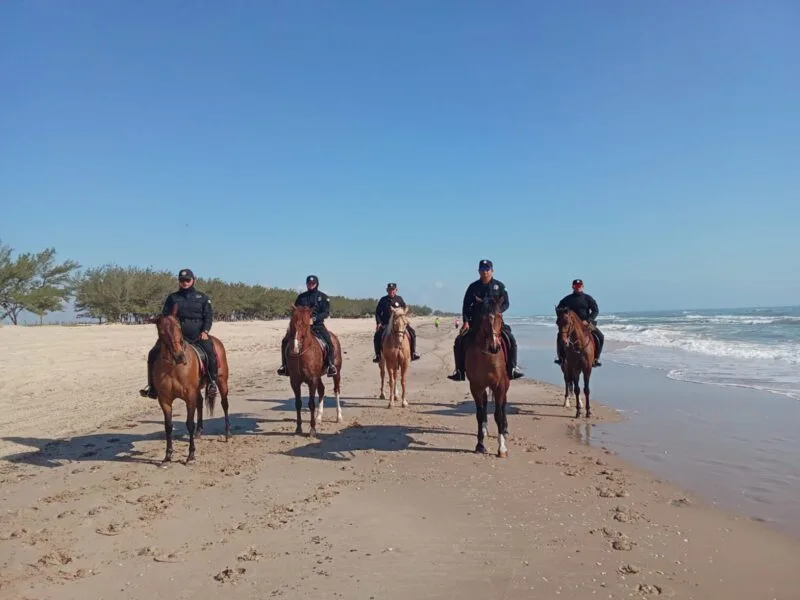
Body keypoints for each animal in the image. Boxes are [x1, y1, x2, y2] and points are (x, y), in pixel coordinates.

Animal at [151, 304, 231, 464]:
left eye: (179, 327)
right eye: (161, 331)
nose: (179, 356)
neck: (172, 367)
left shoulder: (189, 397)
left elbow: (189, 423)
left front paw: (191, 455)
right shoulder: (164, 400)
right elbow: (168, 426)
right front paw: (168, 455)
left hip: (222, 381)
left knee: (224, 404)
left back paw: (227, 433)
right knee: (200, 403)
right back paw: (199, 431)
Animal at [286, 304, 343, 436]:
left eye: (305, 325)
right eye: (292, 323)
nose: (294, 347)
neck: (301, 354)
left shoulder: (312, 380)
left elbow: (311, 404)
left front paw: (312, 429)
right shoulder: (295, 381)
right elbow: (298, 403)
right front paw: (298, 428)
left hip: (336, 373)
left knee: (336, 390)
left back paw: (339, 416)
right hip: (319, 376)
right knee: (322, 390)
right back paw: (319, 417)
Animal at [464, 296, 510, 457]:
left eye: (500, 317)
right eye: (483, 319)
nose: (494, 347)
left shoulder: (500, 386)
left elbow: (499, 414)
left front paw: (502, 448)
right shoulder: (476, 387)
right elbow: (479, 413)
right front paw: (480, 444)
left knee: (503, 405)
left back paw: (505, 429)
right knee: (484, 407)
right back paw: (484, 430)